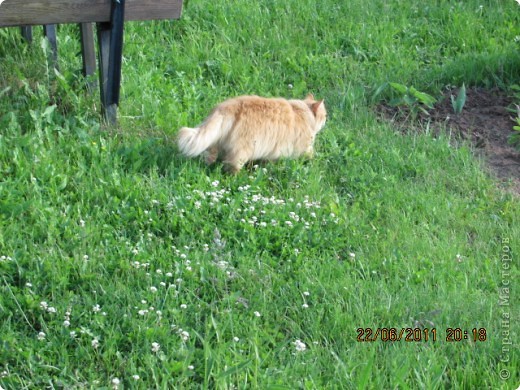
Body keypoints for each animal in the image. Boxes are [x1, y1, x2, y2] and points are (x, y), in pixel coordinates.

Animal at [177, 93, 328, 173]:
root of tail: (227, 107)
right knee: (231, 166)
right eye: (325, 115)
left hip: (214, 144)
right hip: (242, 151)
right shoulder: (302, 147)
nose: (327, 118)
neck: (301, 111)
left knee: (208, 157)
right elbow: (311, 155)